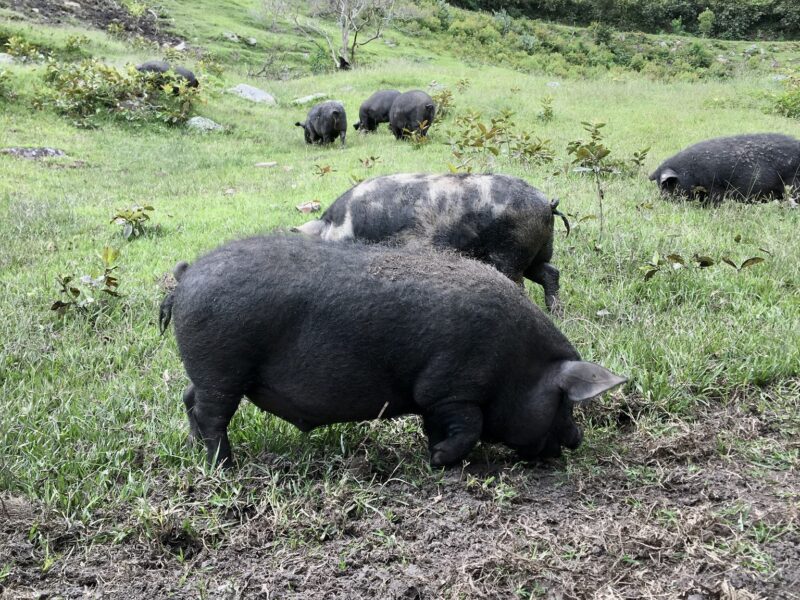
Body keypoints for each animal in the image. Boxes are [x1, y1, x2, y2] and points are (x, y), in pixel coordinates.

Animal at [158, 237, 624, 472]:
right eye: (566, 401)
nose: (577, 440)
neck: (519, 365)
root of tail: (187, 275)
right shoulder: (452, 388)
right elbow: (468, 428)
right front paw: (438, 461)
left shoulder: (436, 400)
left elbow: (440, 427)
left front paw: (433, 453)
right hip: (222, 367)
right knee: (211, 414)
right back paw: (225, 466)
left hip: (208, 372)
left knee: (188, 398)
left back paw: (196, 449)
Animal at [294, 172, 568, 312]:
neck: (337, 228)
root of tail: (547, 204)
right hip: (535, 253)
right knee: (550, 272)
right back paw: (555, 312)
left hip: (510, 254)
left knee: (520, 283)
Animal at [648, 133, 800, 203]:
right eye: (659, 185)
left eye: (668, 184)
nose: (663, 199)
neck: (690, 172)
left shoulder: (715, 186)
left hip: (794, 185)